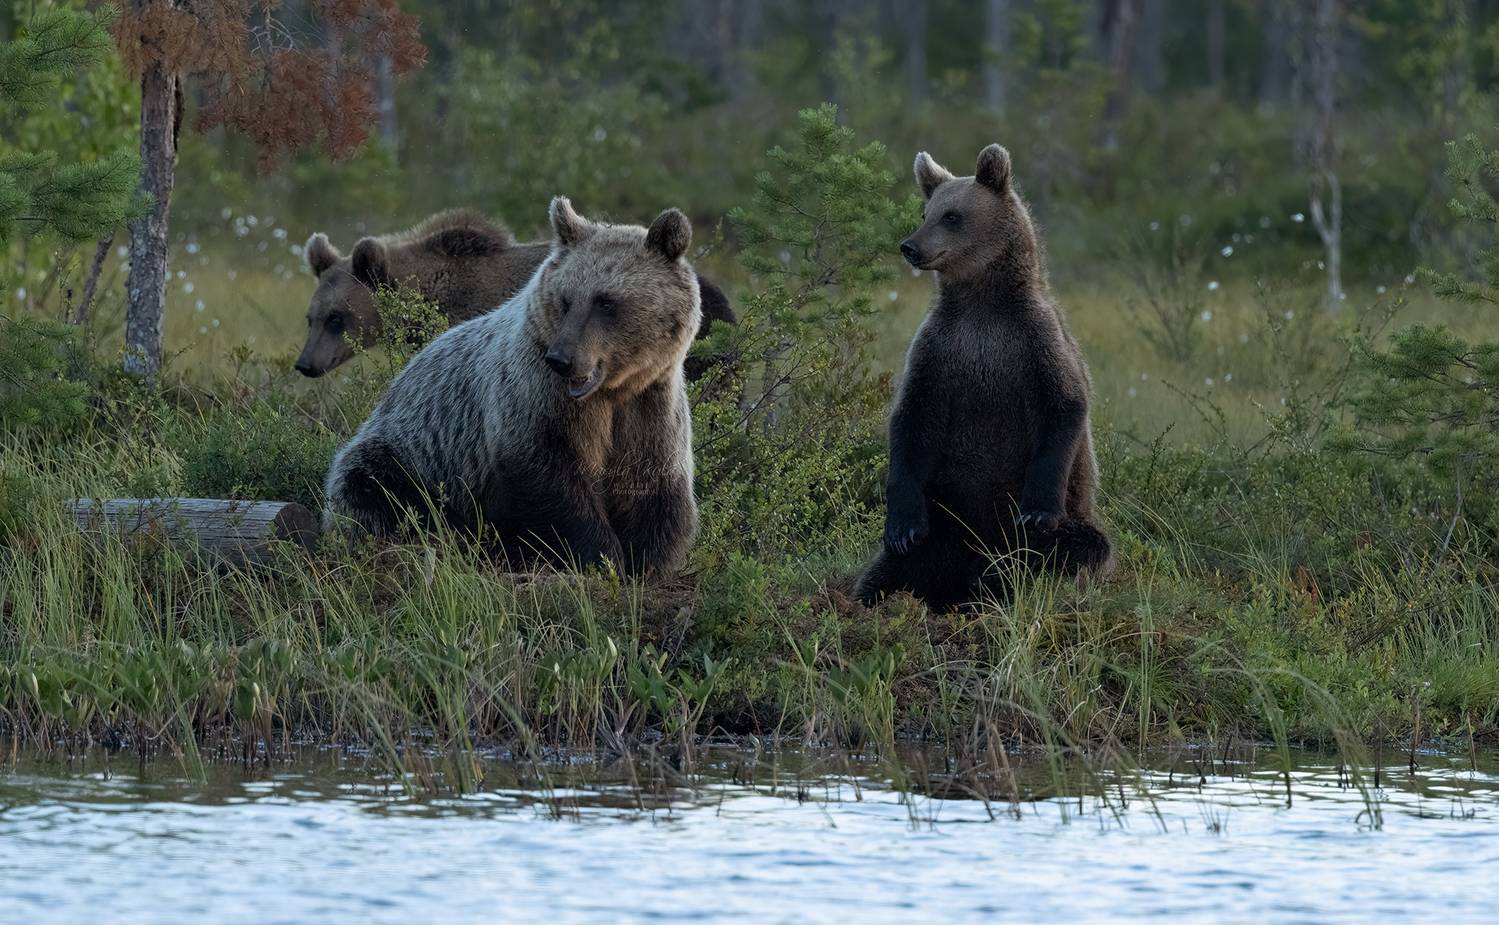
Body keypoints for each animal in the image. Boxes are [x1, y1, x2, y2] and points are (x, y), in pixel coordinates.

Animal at [322, 196, 701, 577]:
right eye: (566, 299)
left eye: (605, 301)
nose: (561, 359)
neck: (612, 391)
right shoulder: (535, 397)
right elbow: (550, 478)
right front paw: (602, 555)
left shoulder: (648, 406)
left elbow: (652, 486)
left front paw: (647, 560)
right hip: (408, 454)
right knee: (371, 488)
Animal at [854, 144, 1112, 611]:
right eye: (925, 212)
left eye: (952, 216)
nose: (910, 246)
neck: (981, 305)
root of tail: (976, 553)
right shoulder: (940, 349)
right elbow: (910, 418)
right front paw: (901, 526)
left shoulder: (1031, 342)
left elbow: (1063, 405)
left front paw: (1037, 510)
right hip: (946, 517)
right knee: (900, 565)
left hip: (1049, 526)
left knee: (1076, 548)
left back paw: (999, 580)